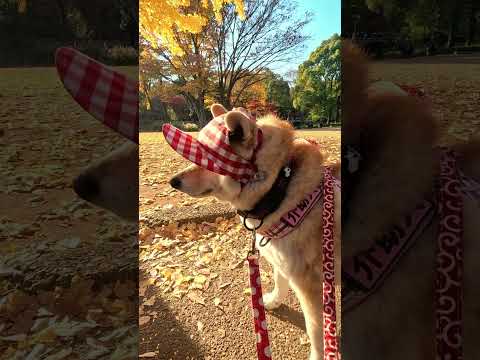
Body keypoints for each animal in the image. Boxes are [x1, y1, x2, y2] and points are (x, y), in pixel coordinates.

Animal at [165, 103, 342, 358]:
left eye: (204, 158)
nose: (173, 181)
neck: (280, 187)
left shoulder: (311, 286)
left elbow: (316, 331)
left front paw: (320, 355)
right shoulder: (281, 263)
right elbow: (280, 282)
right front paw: (272, 301)